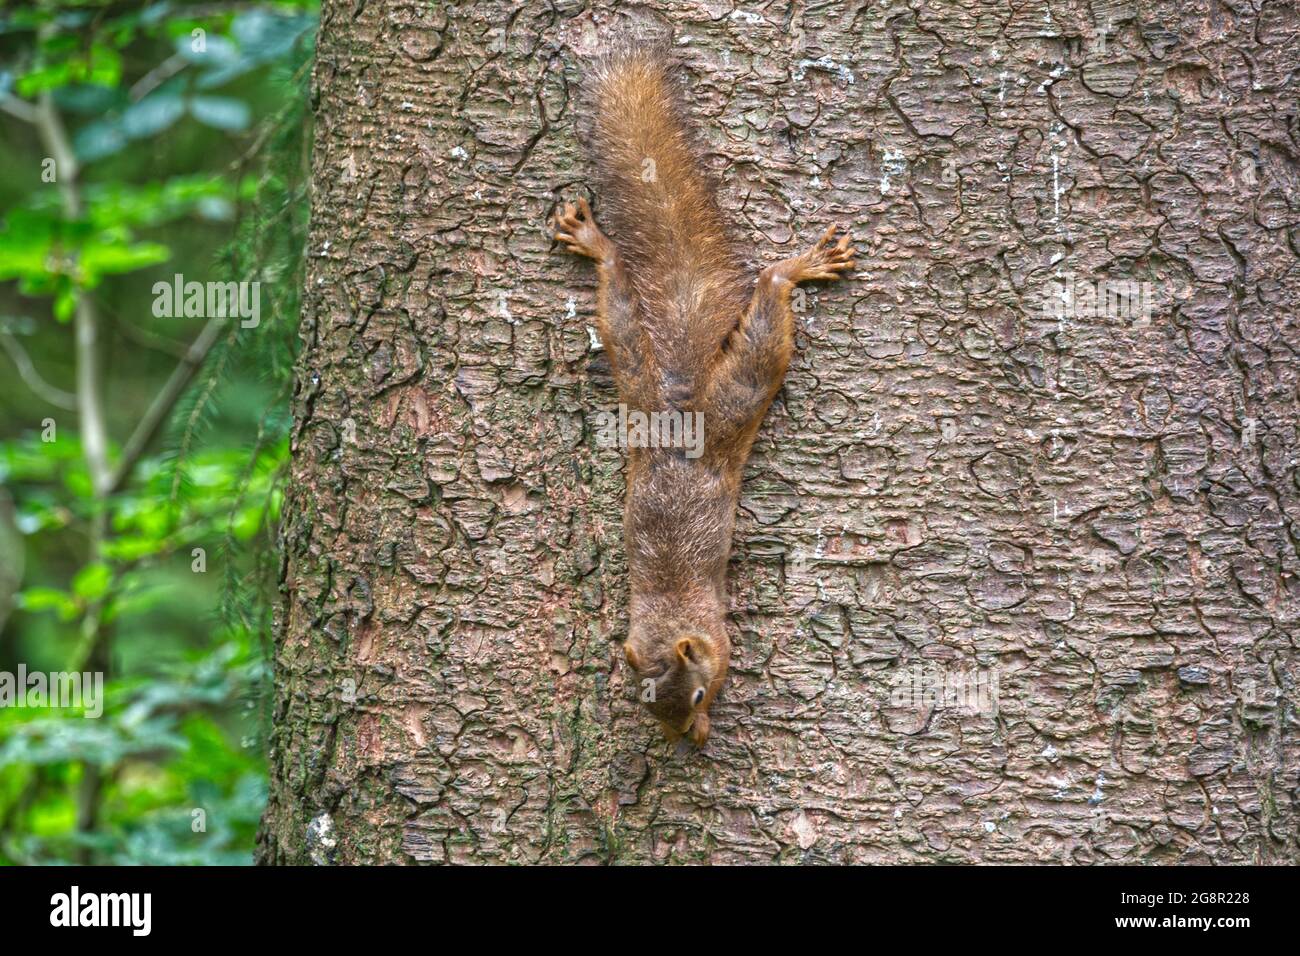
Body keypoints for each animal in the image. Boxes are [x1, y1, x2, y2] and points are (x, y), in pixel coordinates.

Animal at [553, 44, 857, 749]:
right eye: (645, 703)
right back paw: (598, 248)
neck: (670, 617)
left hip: (733, 400)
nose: (681, 733)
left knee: (765, 319)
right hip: (637, 385)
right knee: (621, 314)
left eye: (694, 691)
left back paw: (796, 267)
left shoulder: (719, 636)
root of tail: (682, 411)